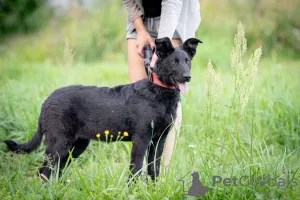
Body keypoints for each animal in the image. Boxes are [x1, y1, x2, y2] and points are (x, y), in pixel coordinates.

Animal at [3, 36, 202, 181]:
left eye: (187, 61)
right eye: (174, 61)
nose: (188, 76)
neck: (160, 93)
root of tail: (47, 101)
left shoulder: (159, 140)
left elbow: (154, 169)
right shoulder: (141, 139)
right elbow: (136, 170)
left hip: (76, 146)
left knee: (53, 171)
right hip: (59, 143)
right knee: (45, 172)